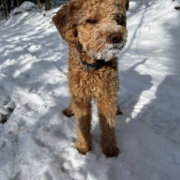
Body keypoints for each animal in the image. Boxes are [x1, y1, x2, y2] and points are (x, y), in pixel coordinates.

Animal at [52, 0, 128, 158]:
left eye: (117, 19)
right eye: (91, 20)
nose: (117, 37)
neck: (93, 67)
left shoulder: (106, 94)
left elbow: (108, 123)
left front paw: (110, 150)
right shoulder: (81, 95)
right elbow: (82, 123)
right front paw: (83, 147)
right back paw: (69, 110)